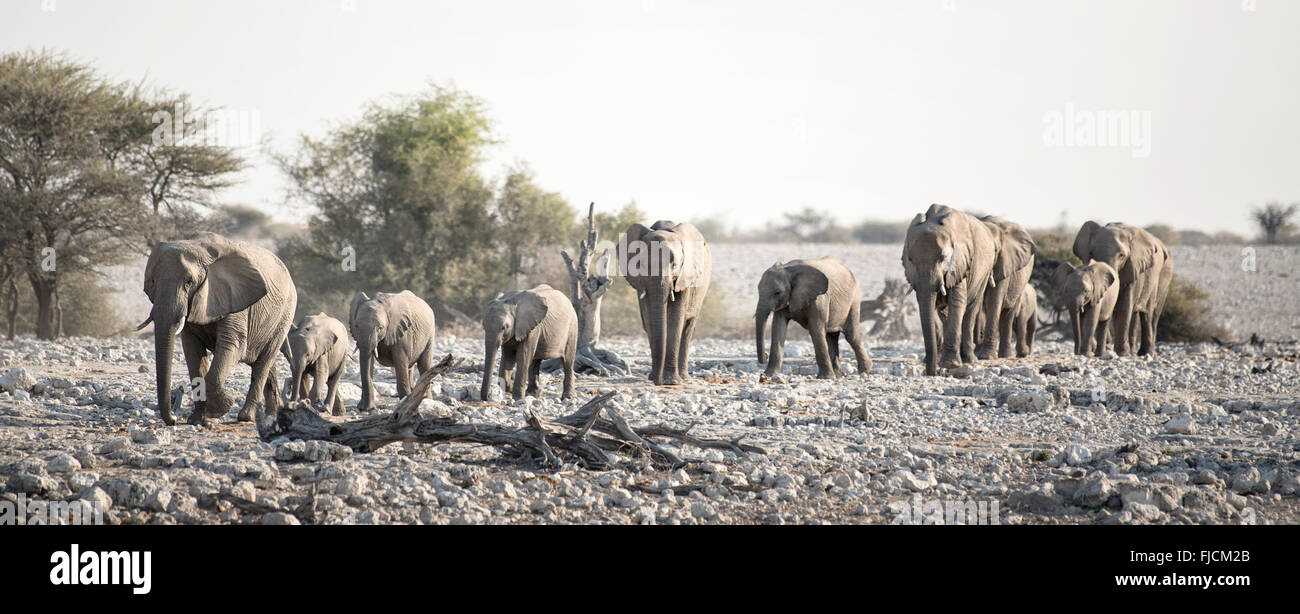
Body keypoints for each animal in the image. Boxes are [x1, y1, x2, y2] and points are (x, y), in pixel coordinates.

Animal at [135, 232, 297, 424]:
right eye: (152, 282)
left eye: (189, 282)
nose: (173, 419)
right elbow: (192, 351)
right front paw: (198, 420)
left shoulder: (233, 297)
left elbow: (232, 345)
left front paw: (218, 410)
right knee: (266, 364)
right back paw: (272, 416)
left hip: (285, 314)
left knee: (264, 361)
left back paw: (246, 417)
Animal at [616, 219, 712, 385]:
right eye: (641, 264)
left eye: (674, 264)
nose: (657, 381)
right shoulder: (641, 282)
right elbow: (648, 320)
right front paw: (655, 378)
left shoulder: (684, 276)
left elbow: (676, 320)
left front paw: (671, 381)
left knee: (688, 327)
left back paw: (684, 377)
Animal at [904, 205, 993, 374]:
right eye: (910, 260)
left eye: (943, 258)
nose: (932, 373)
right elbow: (926, 303)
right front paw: (940, 363)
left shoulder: (960, 263)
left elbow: (957, 301)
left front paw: (949, 365)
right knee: (945, 313)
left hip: (985, 272)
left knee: (971, 310)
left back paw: (969, 359)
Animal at [977, 215, 1034, 359]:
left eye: (995, 251)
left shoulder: (1005, 264)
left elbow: (994, 300)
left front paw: (986, 356)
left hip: (1020, 284)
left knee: (1008, 314)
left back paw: (1008, 355)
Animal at [1071, 221, 1175, 353]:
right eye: (1091, 253)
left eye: (1121, 256)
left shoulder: (1134, 267)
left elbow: (1125, 304)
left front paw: (1122, 352)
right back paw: (1134, 352)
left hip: (1163, 279)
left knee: (1149, 314)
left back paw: (1146, 353)